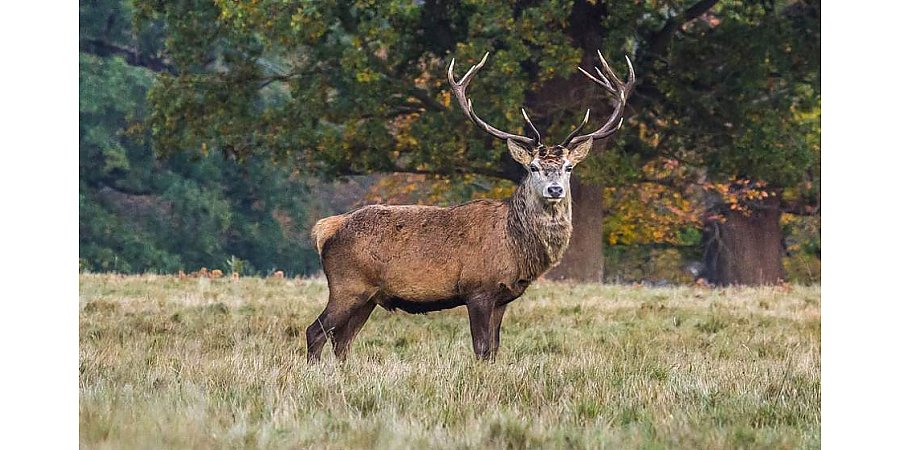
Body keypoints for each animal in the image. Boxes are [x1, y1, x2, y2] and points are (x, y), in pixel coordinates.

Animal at [306, 50, 636, 362]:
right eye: (533, 167)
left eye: (568, 167)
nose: (555, 189)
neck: (515, 245)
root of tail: (325, 229)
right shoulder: (477, 289)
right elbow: (480, 347)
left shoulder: (503, 297)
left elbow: (494, 349)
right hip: (347, 285)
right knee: (316, 331)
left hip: (369, 296)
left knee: (342, 340)